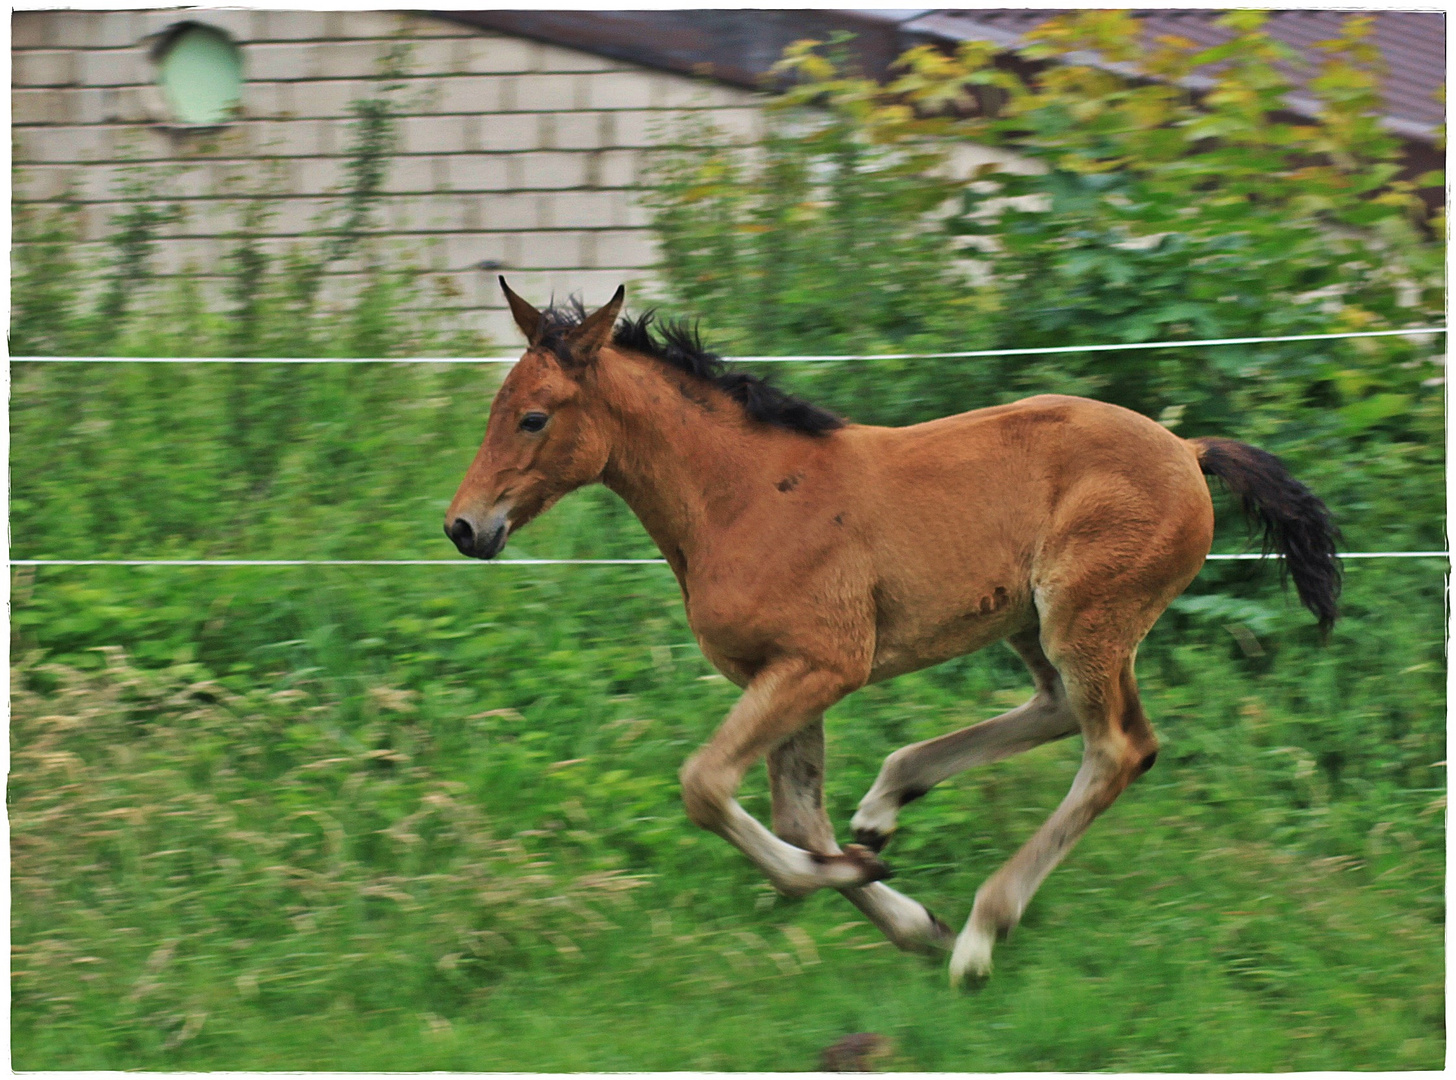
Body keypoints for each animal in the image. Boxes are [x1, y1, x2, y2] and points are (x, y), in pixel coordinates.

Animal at [445, 280, 1339, 989]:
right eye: (494, 410)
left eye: (532, 418)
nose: (464, 527)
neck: (741, 495)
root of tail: (1187, 448)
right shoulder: (782, 675)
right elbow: (798, 820)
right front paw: (901, 909)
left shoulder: (821, 664)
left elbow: (705, 787)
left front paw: (873, 894)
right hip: (1033, 620)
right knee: (1059, 710)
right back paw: (888, 807)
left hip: (1087, 615)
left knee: (1117, 746)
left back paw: (979, 936)